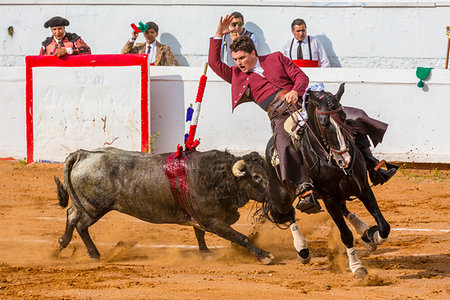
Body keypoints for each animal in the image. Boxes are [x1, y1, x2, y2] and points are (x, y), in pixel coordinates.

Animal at [55, 149, 274, 264]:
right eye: (256, 177)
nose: (274, 197)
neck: (216, 177)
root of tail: (83, 154)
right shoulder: (212, 221)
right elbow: (240, 237)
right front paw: (264, 255)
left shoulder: (200, 218)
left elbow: (199, 234)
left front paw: (205, 253)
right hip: (94, 207)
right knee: (80, 224)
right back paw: (94, 254)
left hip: (84, 205)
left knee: (71, 215)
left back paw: (60, 246)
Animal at [264, 83, 390, 278]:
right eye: (324, 123)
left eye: (344, 117)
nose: (345, 159)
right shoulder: (329, 200)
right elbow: (345, 234)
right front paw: (357, 267)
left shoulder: (363, 188)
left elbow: (384, 225)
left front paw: (374, 236)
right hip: (282, 197)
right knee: (287, 214)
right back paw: (302, 249)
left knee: (345, 209)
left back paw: (366, 234)